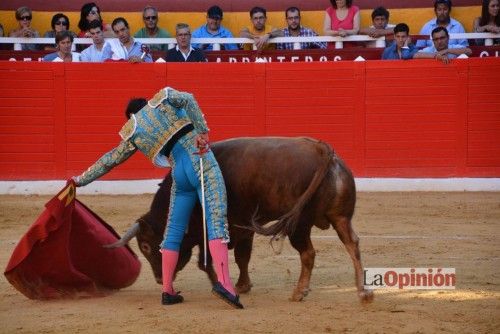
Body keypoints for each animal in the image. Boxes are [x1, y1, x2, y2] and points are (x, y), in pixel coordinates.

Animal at [113, 137, 372, 302]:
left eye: (146, 246)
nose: (159, 279)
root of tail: (321, 149)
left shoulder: (219, 228)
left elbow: (208, 261)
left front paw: (222, 287)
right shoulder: (244, 227)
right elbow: (242, 257)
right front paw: (242, 285)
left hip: (298, 224)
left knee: (308, 253)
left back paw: (299, 292)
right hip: (340, 217)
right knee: (352, 244)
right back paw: (363, 292)